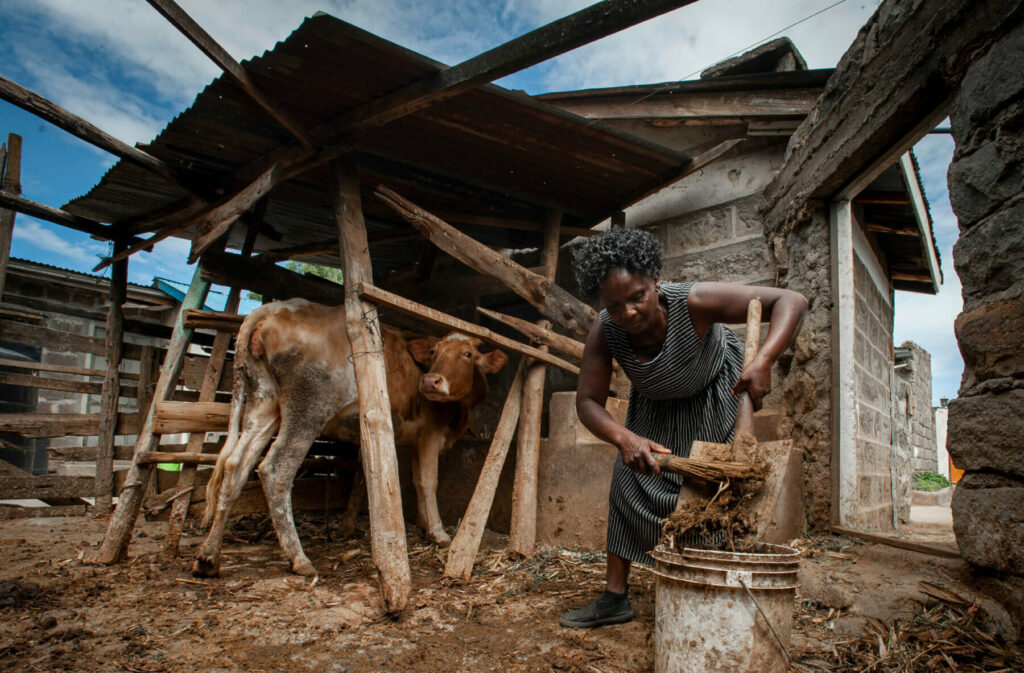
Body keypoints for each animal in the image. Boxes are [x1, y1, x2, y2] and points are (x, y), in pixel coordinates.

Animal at [191, 299, 507, 577]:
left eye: (467, 354)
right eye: (433, 351)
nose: (430, 381)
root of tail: (274, 308)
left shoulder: (416, 438)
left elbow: (417, 480)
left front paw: (424, 526)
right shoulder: (430, 434)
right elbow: (429, 482)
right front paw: (439, 533)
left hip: (264, 404)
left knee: (235, 466)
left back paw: (208, 556)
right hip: (308, 408)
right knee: (275, 469)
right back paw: (299, 558)